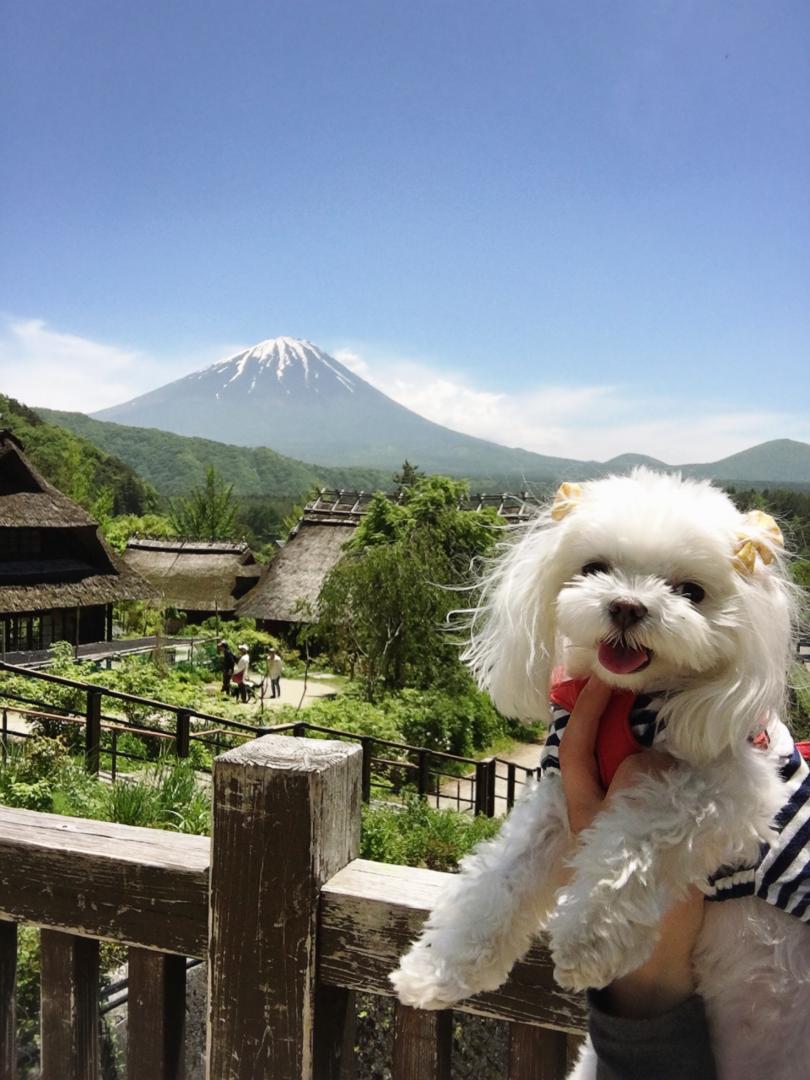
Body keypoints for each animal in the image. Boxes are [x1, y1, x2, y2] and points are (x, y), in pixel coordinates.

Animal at [390, 470, 807, 1080]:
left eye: (691, 592)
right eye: (593, 568)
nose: (628, 607)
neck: (626, 701)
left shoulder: (733, 789)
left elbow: (634, 841)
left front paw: (586, 942)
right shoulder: (558, 795)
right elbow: (500, 879)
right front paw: (436, 969)